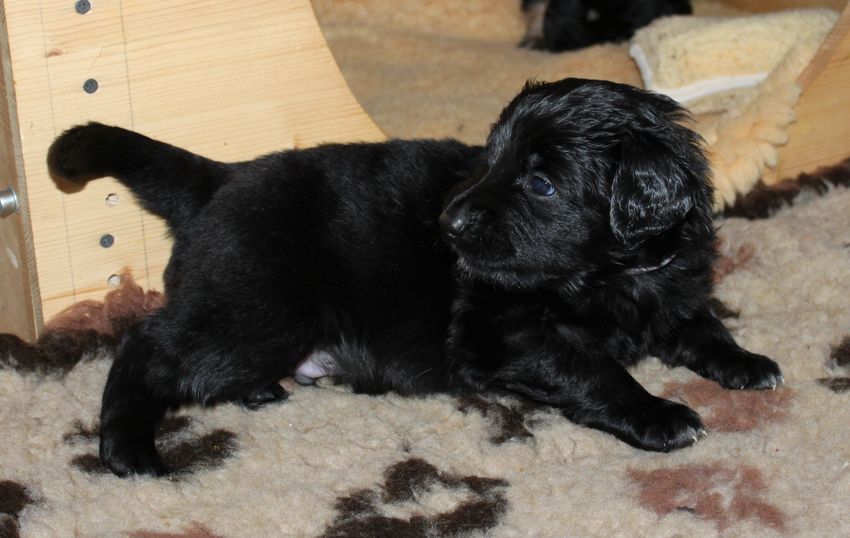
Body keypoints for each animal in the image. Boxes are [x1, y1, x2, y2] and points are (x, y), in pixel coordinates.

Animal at [47, 78, 782, 478]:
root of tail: (219, 179)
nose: (448, 222)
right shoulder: (501, 331)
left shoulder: (674, 288)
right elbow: (594, 370)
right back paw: (128, 447)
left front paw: (746, 362)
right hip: (259, 313)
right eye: (490, 160)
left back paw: (259, 394)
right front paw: (658, 414)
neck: (609, 275)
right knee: (148, 346)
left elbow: (701, 326)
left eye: (541, 183)